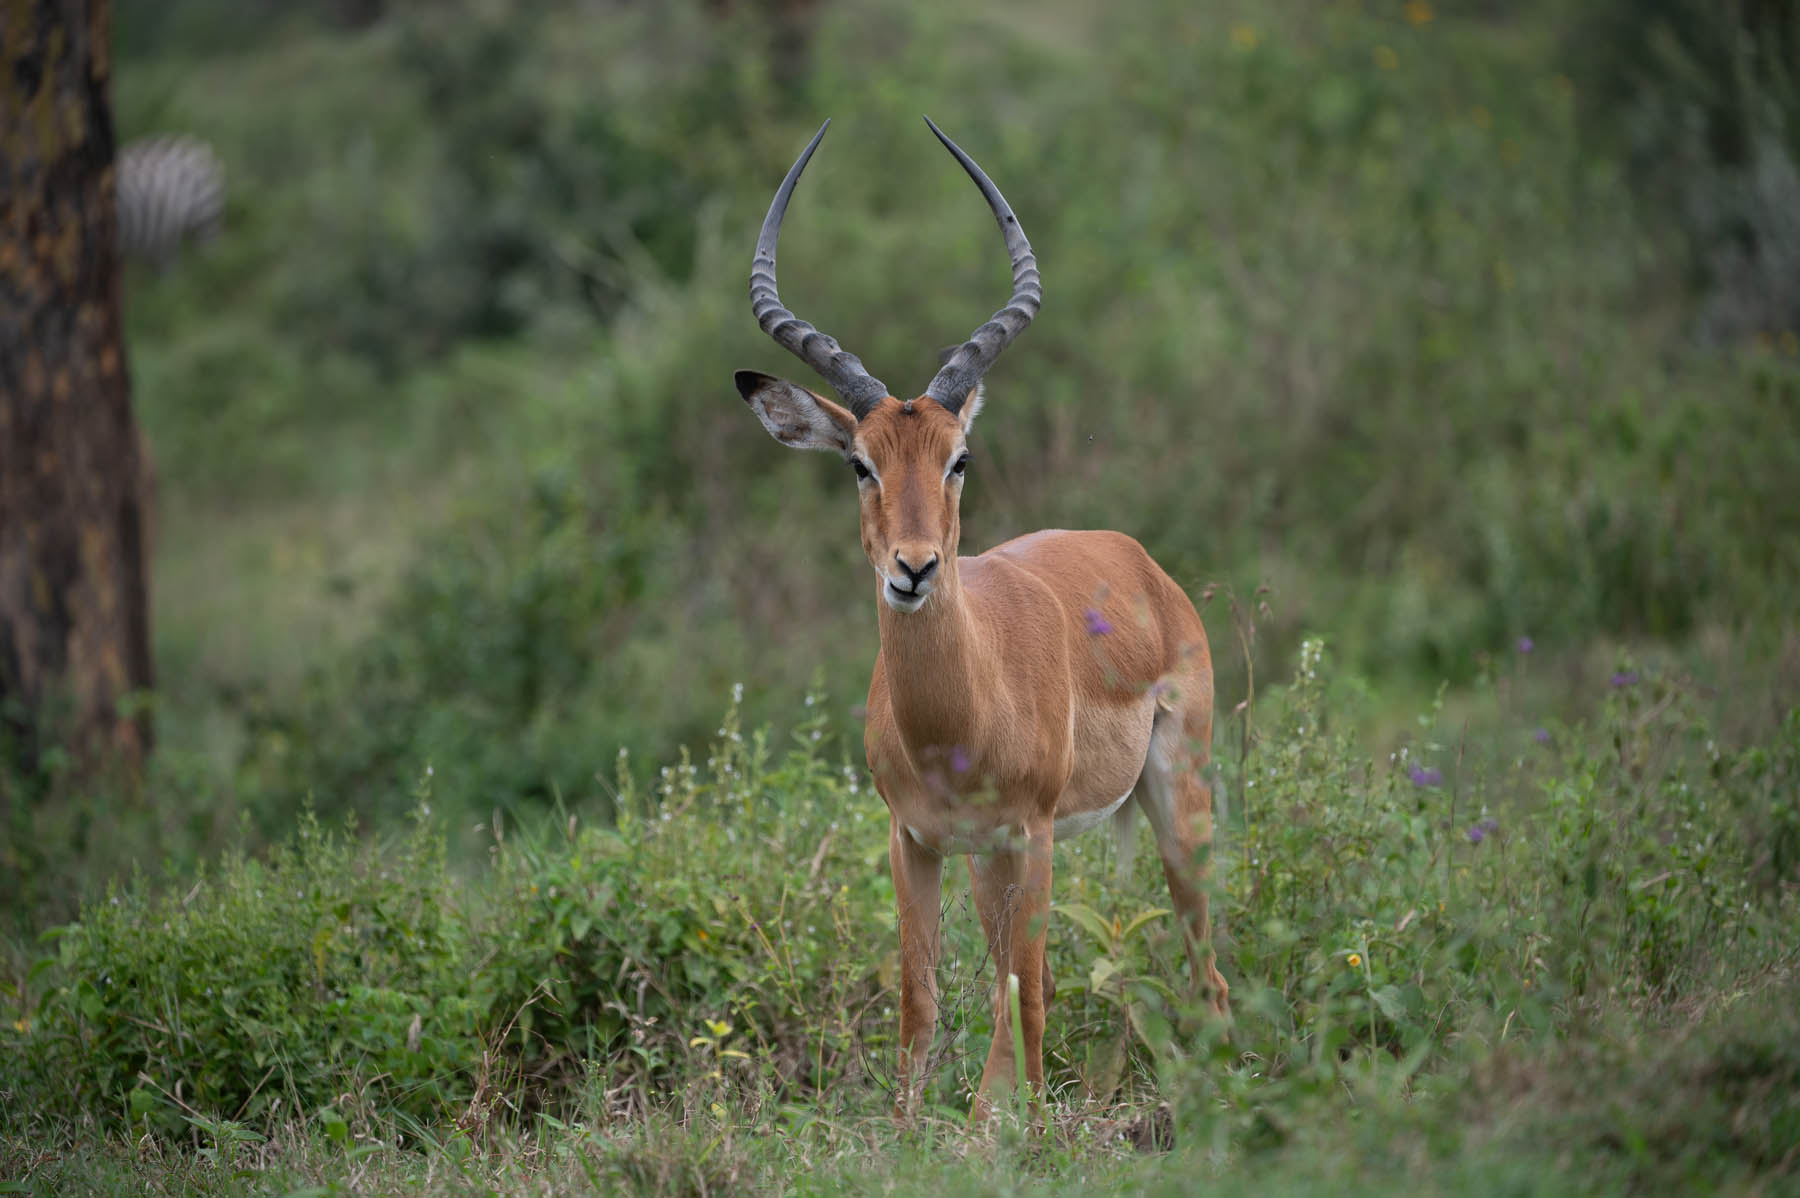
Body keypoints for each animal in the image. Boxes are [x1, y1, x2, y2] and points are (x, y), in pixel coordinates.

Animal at [734, 118, 1230, 1121]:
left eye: (958, 458)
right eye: (860, 463)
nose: (915, 568)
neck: (954, 716)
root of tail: (1142, 564)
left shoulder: (1031, 834)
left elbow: (1028, 990)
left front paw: (1018, 1126)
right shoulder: (914, 840)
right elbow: (921, 996)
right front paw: (913, 1125)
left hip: (1172, 798)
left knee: (1199, 963)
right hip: (985, 860)